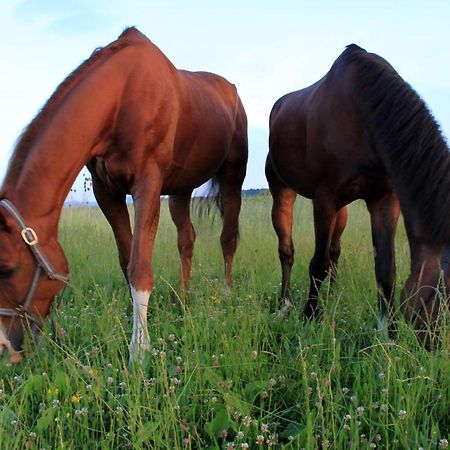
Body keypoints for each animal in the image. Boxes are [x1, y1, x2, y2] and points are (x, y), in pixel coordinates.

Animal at [0, 27, 248, 362]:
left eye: (7, 269)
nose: (6, 347)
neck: (121, 97)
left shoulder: (147, 185)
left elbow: (139, 268)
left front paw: (139, 352)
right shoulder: (107, 192)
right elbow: (126, 261)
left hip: (233, 178)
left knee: (228, 238)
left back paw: (227, 293)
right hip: (180, 190)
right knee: (187, 239)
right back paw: (183, 299)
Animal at [266, 44, 448, 342]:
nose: (436, 345)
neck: (361, 115)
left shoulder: (384, 200)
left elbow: (385, 267)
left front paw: (388, 331)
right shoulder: (324, 199)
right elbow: (317, 264)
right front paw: (309, 317)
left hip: (342, 211)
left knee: (334, 251)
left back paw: (331, 294)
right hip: (283, 193)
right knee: (287, 251)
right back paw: (285, 305)